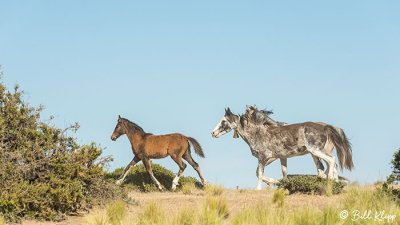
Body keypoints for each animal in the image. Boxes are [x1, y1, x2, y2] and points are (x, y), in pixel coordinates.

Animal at [211, 107, 352, 190]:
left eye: (223, 121)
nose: (213, 133)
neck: (258, 133)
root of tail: (325, 127)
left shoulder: (263, 157)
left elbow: (260, 174)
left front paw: (259, 188)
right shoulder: (281, 157)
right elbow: (282, 173)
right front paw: (279, 184)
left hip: (316, 151)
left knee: (331, 161)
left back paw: (332, 182)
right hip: (316, 153)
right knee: (327, 166)